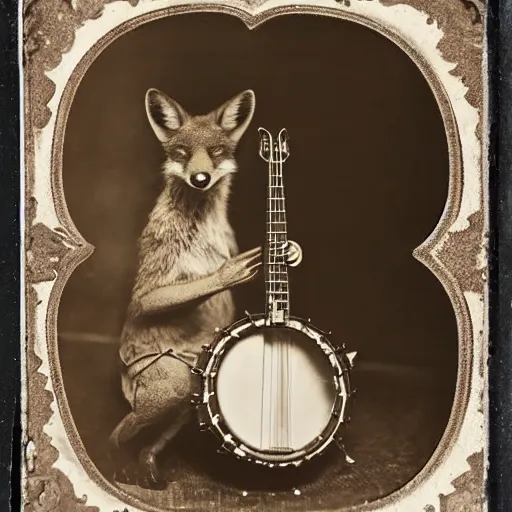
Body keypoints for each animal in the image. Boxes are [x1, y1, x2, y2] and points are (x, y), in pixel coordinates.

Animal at [108, 88, 300, 488]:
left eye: (216, 151)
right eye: (181, 152)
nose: (200, 178)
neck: (202, 228)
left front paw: (288, 251)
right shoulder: (154, 265)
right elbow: (148, 299)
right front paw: (229, 273)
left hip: (197, 380)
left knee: (177, 416)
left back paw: (148, 462)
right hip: (167, 380)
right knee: (122, 429)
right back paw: (117, 460)